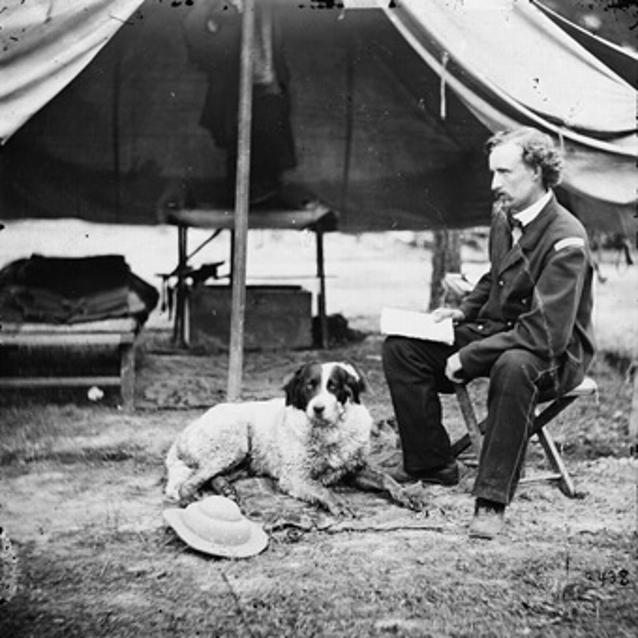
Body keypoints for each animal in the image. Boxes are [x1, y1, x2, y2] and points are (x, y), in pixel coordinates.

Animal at [165, 362, 424, 516]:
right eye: (309, 387)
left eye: (333, 387)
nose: (318, 408)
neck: (328, 432)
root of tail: (186, 430)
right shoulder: (295, 477)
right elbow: (321, 488)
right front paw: (338, 503)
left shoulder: (353, 468)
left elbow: (387, 479)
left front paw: (407, 495)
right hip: (234, 444)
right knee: (189, 482)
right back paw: (191, 500)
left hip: (246, 462)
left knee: (213, 477)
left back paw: (227, 490)